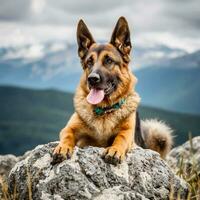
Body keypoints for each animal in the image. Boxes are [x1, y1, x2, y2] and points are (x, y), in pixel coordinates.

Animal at [52, 16, 173, 165]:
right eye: (89, 62)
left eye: (109, 60)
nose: (92, 79)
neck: (104, 110)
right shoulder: (70, 128)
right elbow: (67, 135)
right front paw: (62, 147)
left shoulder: (128, 132)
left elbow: (121, 138)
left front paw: (114, 150)